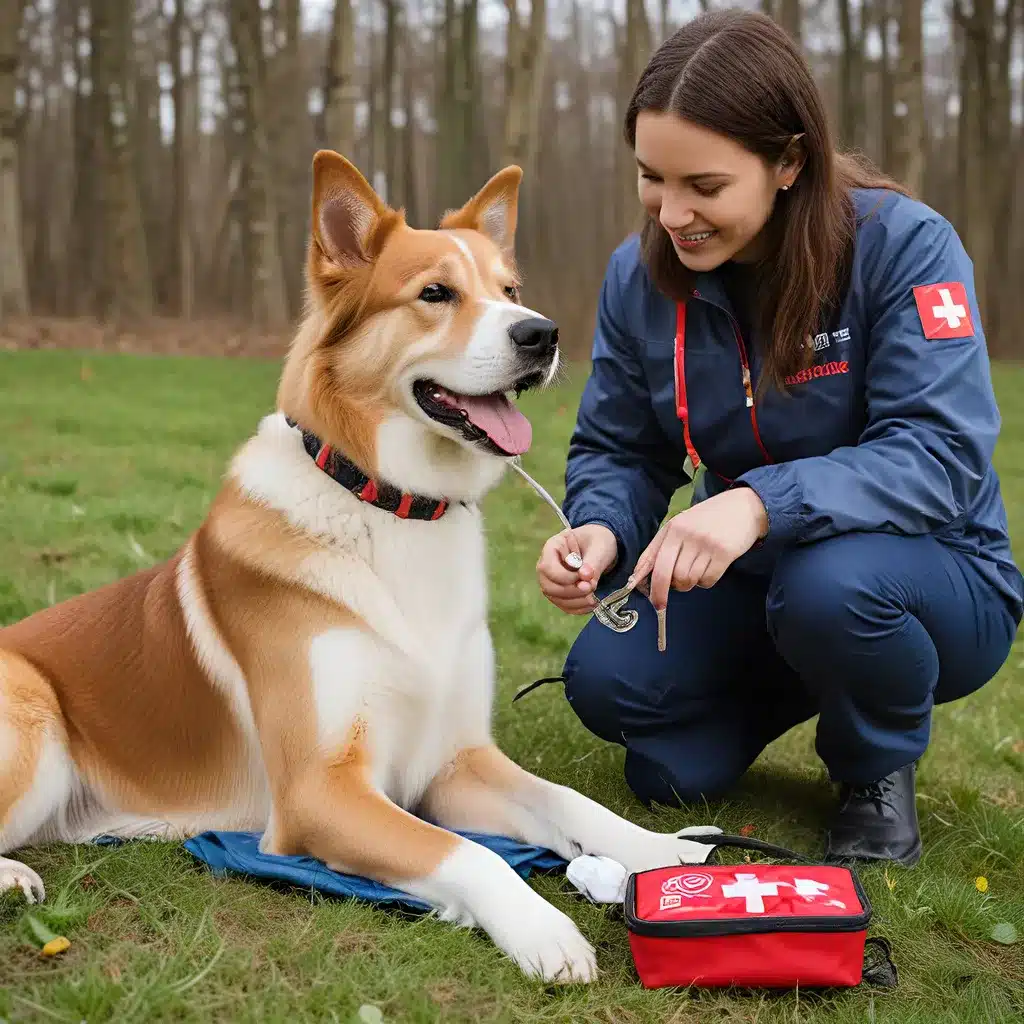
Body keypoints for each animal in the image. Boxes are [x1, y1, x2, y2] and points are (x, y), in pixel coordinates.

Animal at [0, 149, 716, 974]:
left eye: (509, 291)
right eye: (435, 293)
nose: (543, 334)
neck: (391, 505)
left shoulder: (454, 760)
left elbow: (569, 802)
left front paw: (661, 849)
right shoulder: (322, 792)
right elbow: (472, 853)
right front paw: (542, 929)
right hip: (32, 716)